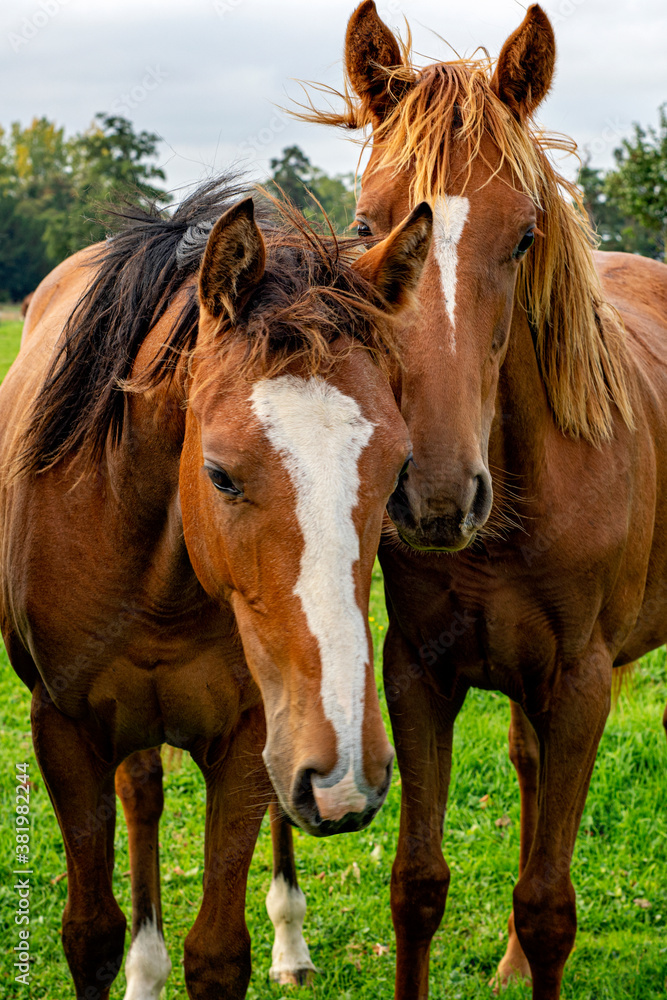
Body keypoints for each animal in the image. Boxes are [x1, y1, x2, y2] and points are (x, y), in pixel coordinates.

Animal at [0, 175, 433, 1000]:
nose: (350, 773)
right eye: (220, 474)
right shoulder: (63, 731)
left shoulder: (251, 737)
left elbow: (218, 952)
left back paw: (290, 942)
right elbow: (89, 936)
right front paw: (133, 963)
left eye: (398, 468)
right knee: (142, 794)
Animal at [262, 4, 667, 998]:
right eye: (365, 222)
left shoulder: (579, 686)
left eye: (522, 236)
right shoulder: (418, 673)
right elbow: (416, 886)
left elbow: (549, 903)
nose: (438, 497)